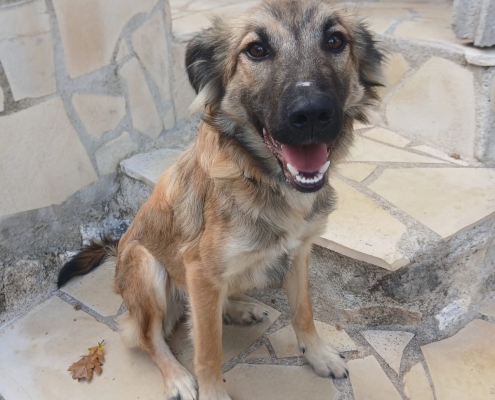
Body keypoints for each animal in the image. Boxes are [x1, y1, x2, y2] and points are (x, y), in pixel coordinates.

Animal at [58, 0, 383, 398]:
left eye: (335, 41)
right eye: (256, 49)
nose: (311, 113)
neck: (261, 177)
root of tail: (115, 251)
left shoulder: (299, 251)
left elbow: (303, 311)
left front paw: (318, 355)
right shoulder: (199, 270)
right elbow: (208, 348)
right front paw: (211, 389)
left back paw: (238, 308)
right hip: (144, 264)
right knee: (147, 337)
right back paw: (177, 375)